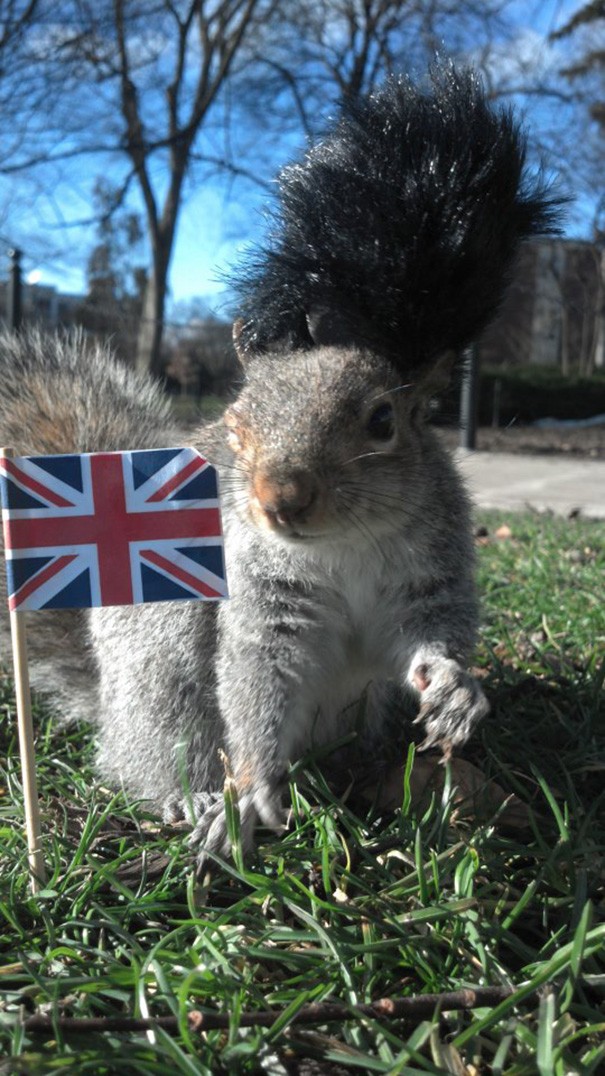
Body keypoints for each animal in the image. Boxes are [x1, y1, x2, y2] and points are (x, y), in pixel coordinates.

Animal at [0, 65, 559, 865]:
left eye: (384, 421)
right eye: (236, 429)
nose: (279, 498)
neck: (345, 545)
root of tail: (107, 706)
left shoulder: (429, 571)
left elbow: (427, 634)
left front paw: (455, 689)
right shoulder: (264, 602)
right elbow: (259, 685)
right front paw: (254, 791)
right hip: (165, 661)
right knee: (162, 750)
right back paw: (196, 797)